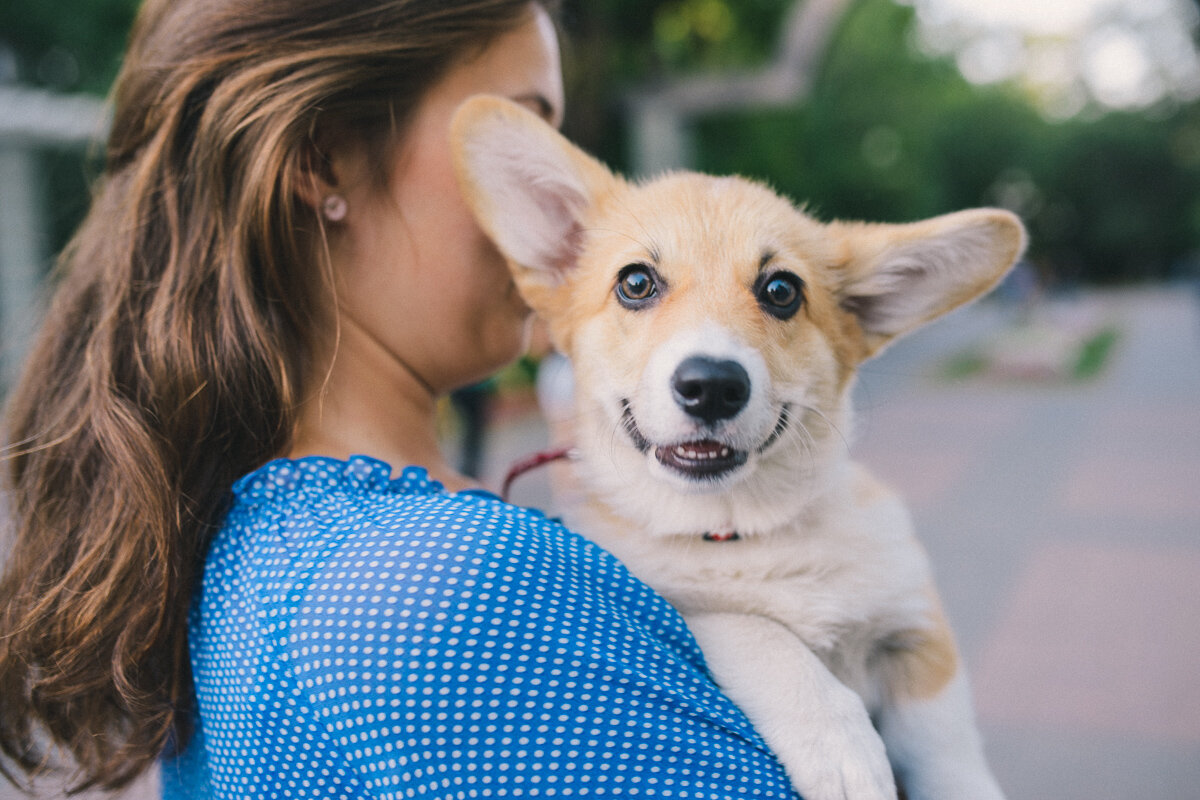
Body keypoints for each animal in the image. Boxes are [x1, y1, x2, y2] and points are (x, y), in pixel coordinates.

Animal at [448, 95, 1022, 800]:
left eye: (781, 290)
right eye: (635, 283)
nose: (712, 386)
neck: (738, 531)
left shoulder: (915, 631)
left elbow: (950, 752)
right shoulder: (675, 601)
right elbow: (752, 629)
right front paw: (842, 746)